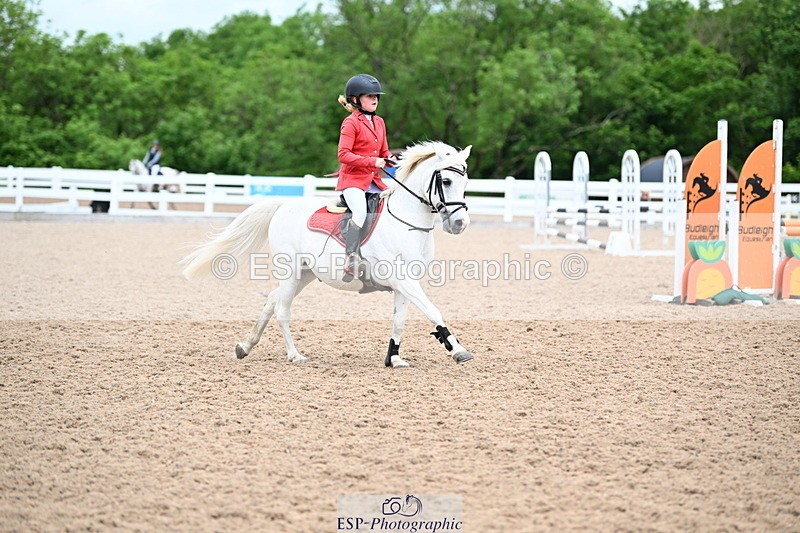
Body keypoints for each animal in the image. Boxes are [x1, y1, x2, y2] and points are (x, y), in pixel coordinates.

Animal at [179, 141, 474, 368]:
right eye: (446, 180)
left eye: (466, 182)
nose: (460, 224)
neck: (406, 222)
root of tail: (283, 206)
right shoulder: (402, 280)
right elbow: (433, 311)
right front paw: (458, 350)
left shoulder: (405, 284)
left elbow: (399, 320)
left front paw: (394, 359)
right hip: (290, 270)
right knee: (282, 309)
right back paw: (294, 355)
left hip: (305, 274)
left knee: (273, 300)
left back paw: (245, 345)